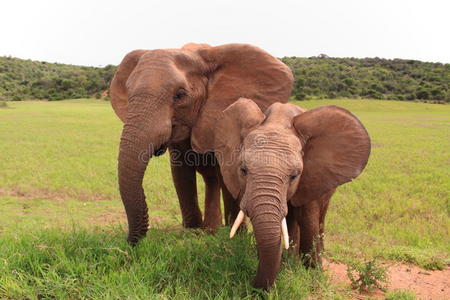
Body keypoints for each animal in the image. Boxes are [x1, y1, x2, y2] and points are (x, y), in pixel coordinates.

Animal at [108, 42, 292, 244]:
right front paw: (192, 234)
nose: (131, 241)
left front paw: (236, 238)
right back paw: (210, 230)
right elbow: (181, 174)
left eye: (180, 95)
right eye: (128, 92)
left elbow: (226, 174)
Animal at [214, 98, 372, 288]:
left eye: (295, 175)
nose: (251, 284)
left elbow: (308, 220)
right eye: (243, 170)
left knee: (319, 217)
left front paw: (314, 277)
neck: (278, 120)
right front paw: (285, 268)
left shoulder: (312, 176)